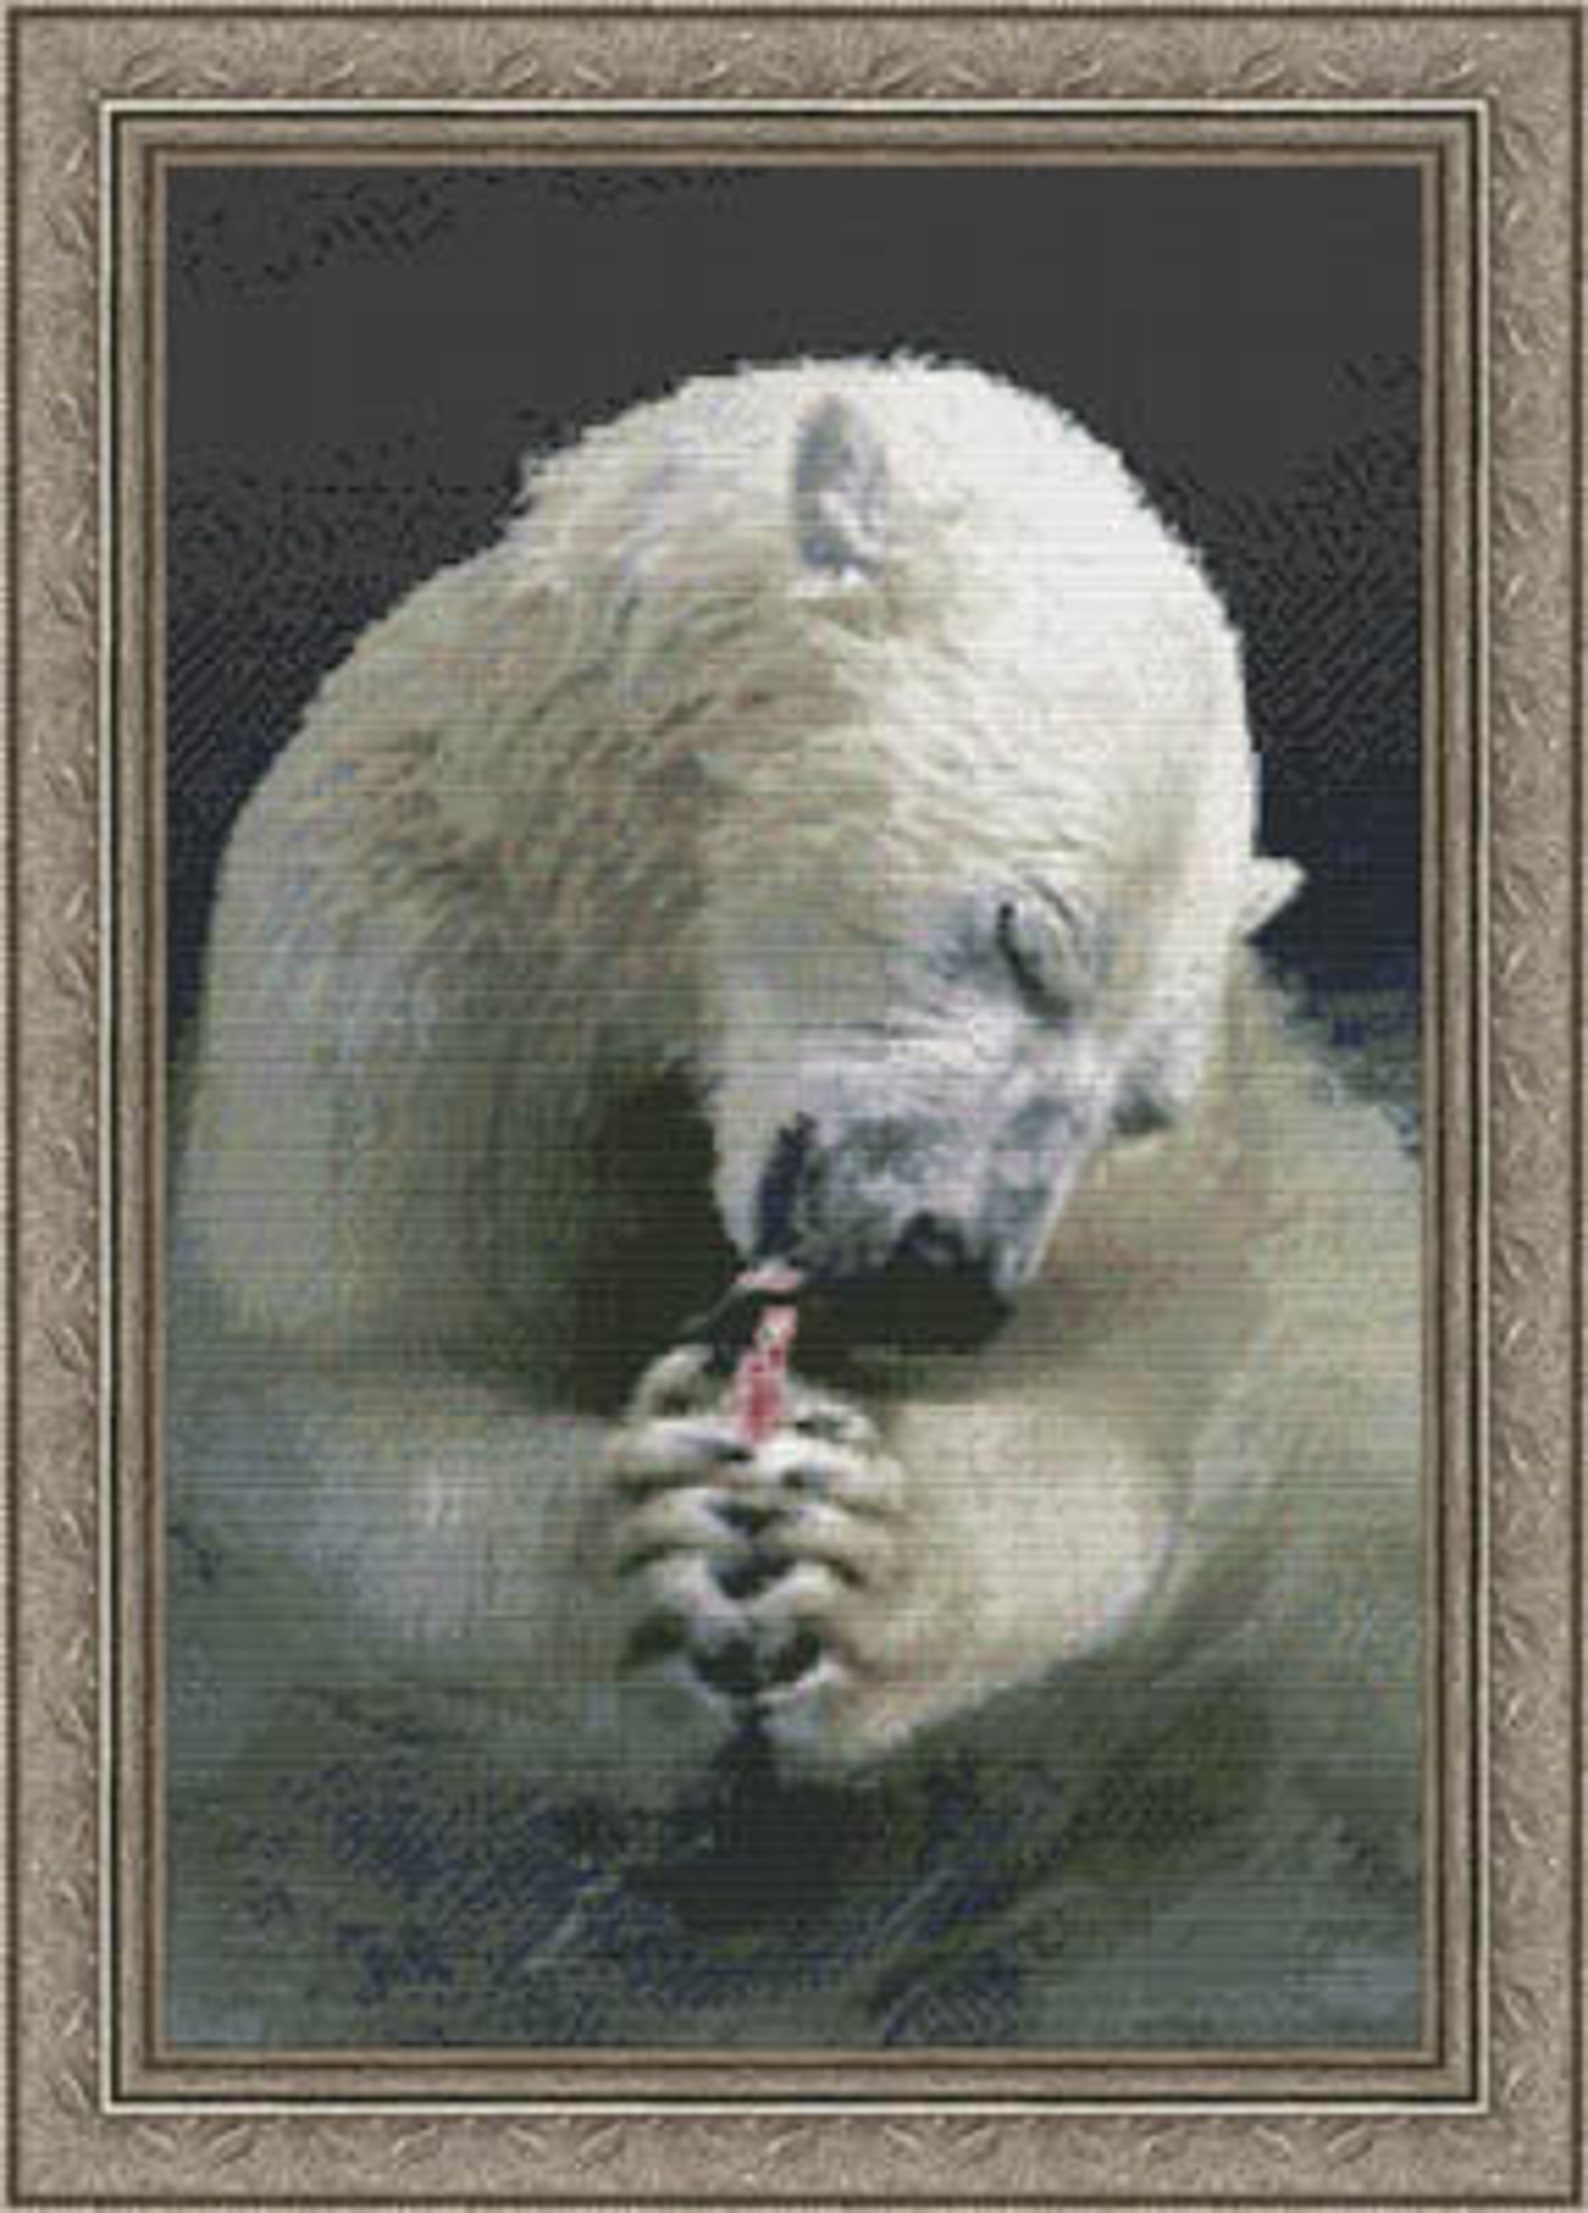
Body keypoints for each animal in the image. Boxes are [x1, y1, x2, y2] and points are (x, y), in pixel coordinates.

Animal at [167, 356, 1423, 2052]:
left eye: (1138, 1101)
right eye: (1025, 936)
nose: (947, 1274)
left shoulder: (1216, 1197)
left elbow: (1139, 1427)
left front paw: (860, 1544)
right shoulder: (408, 979)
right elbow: (329, 1391)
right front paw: (652, 1525)